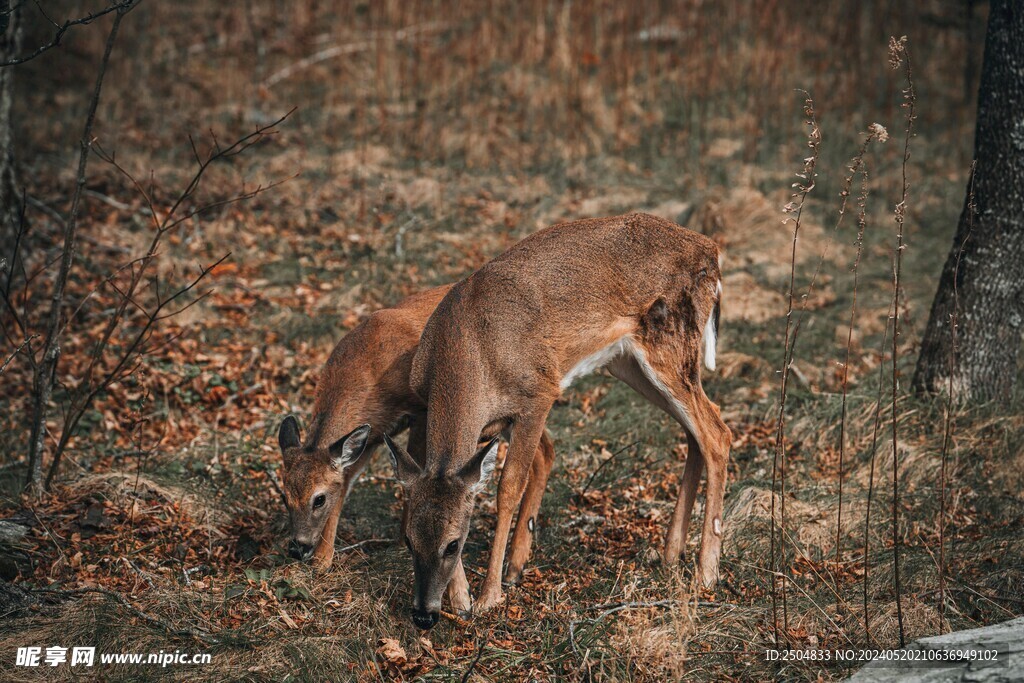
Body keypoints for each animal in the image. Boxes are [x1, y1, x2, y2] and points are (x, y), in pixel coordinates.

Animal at [275, 284, 556, 617]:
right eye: (284, 496)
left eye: (318, 499)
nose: (298, 547)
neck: (368, 370)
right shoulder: (374, 433)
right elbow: (348, 480)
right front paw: (323, 559)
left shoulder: (420, 410)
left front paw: (457, 594)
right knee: (546, 451)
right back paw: (516, 565)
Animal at [382, 212, 731, 630]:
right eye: (408, 540)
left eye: (454, 544)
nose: (423, 615)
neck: (471, 350)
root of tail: (710, 250)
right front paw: (462, 597)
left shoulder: (538, 395)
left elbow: (508, 488)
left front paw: (488, 597)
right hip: (630, 363)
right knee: (696, 431)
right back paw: (669, 553)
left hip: (669, 347)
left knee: (717, 433)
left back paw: (706, 572)